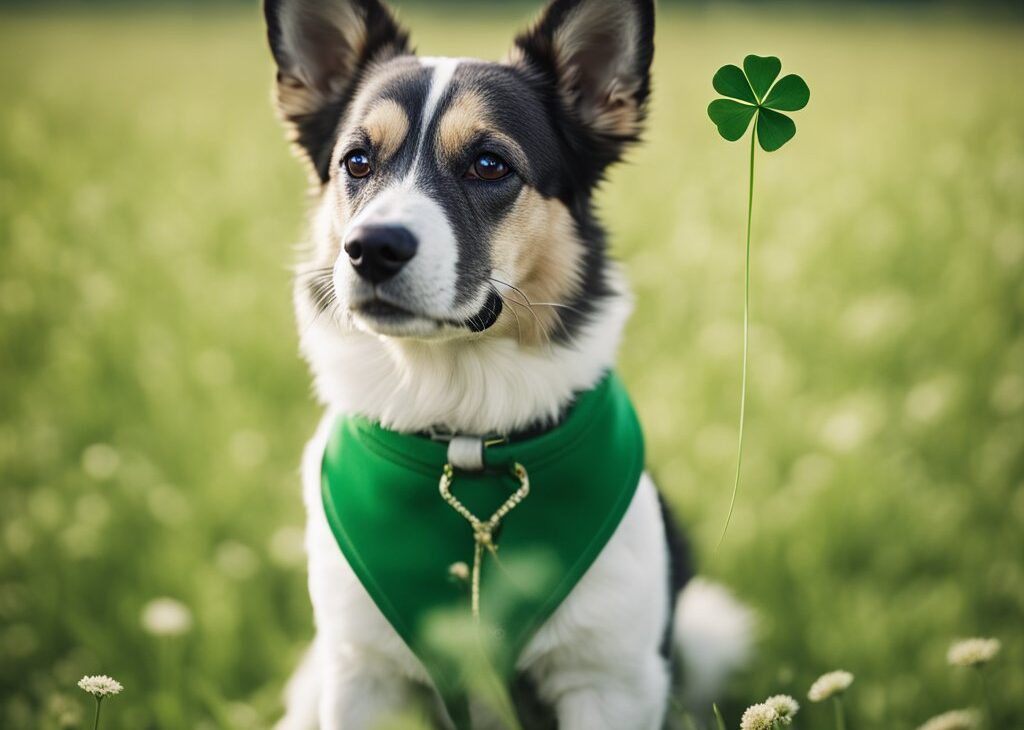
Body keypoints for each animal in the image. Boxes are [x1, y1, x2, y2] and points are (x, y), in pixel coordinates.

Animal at [260, 1, 749, 728]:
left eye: (489, 165)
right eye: (357, 160)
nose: (370, 248)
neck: (463, 429)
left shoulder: (609, 682)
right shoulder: (359, 675)